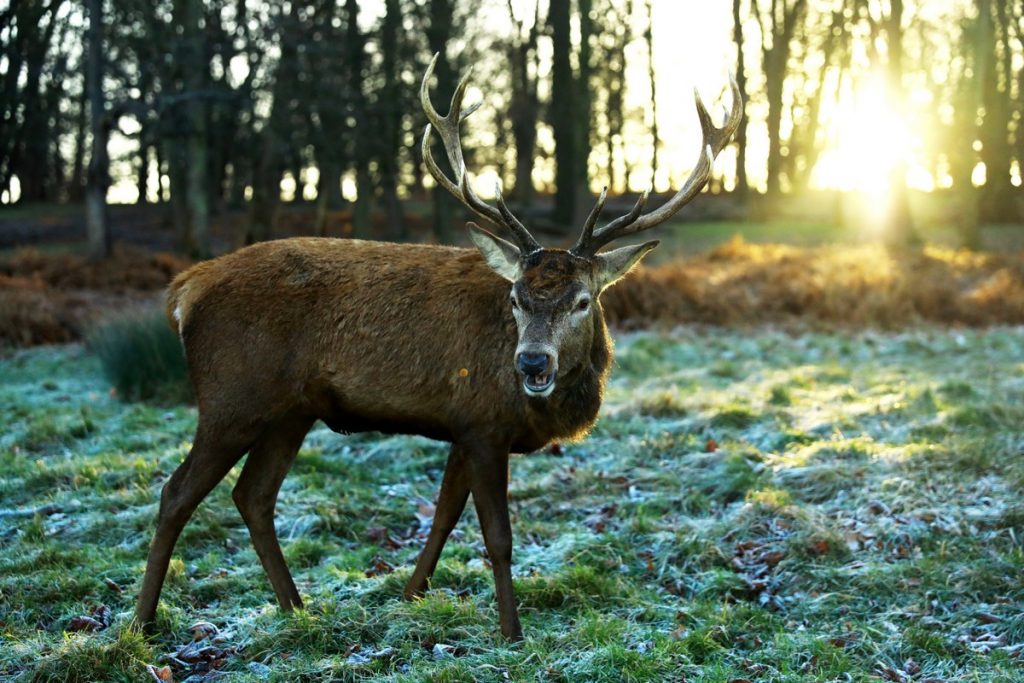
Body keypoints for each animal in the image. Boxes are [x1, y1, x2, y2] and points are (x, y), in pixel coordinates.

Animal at [134, 54, 745, 643]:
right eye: (516, 297)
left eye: (581, 301)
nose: (532, 362)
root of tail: (184, 291)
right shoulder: (483, 424)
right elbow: (496, 535)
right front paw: (512, 633)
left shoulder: (464, 424)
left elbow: (445, 515)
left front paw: (409, 598)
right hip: (231, 397)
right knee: (176, 492)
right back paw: (142, 623)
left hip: (290, 411)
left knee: (253, 496)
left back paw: (296, 609)